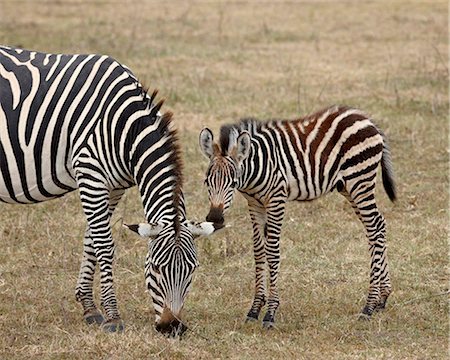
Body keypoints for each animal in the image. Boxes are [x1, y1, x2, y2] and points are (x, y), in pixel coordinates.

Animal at [0, 45, 221, 334]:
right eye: (155, 268)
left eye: (192, 270)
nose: (172, 327)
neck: (126, 129)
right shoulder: (90, 174)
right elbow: (104, 244)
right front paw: (113, 316)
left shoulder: (114, 187)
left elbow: (91, 241)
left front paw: (89, 307)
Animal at [199, 105, 396, 330]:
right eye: (206, 181)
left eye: (232, 182)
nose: (215, 217)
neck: (257, 166)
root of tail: (367, 119)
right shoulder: (255, 204)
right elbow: (258, 251)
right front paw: (255, 309)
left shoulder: (277, 198)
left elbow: (272, 251)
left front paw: (270, 313)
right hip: (348, 186)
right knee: (378, 225)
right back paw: (382, 298)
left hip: (360, 181)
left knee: (374, 228)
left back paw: (369, 306)